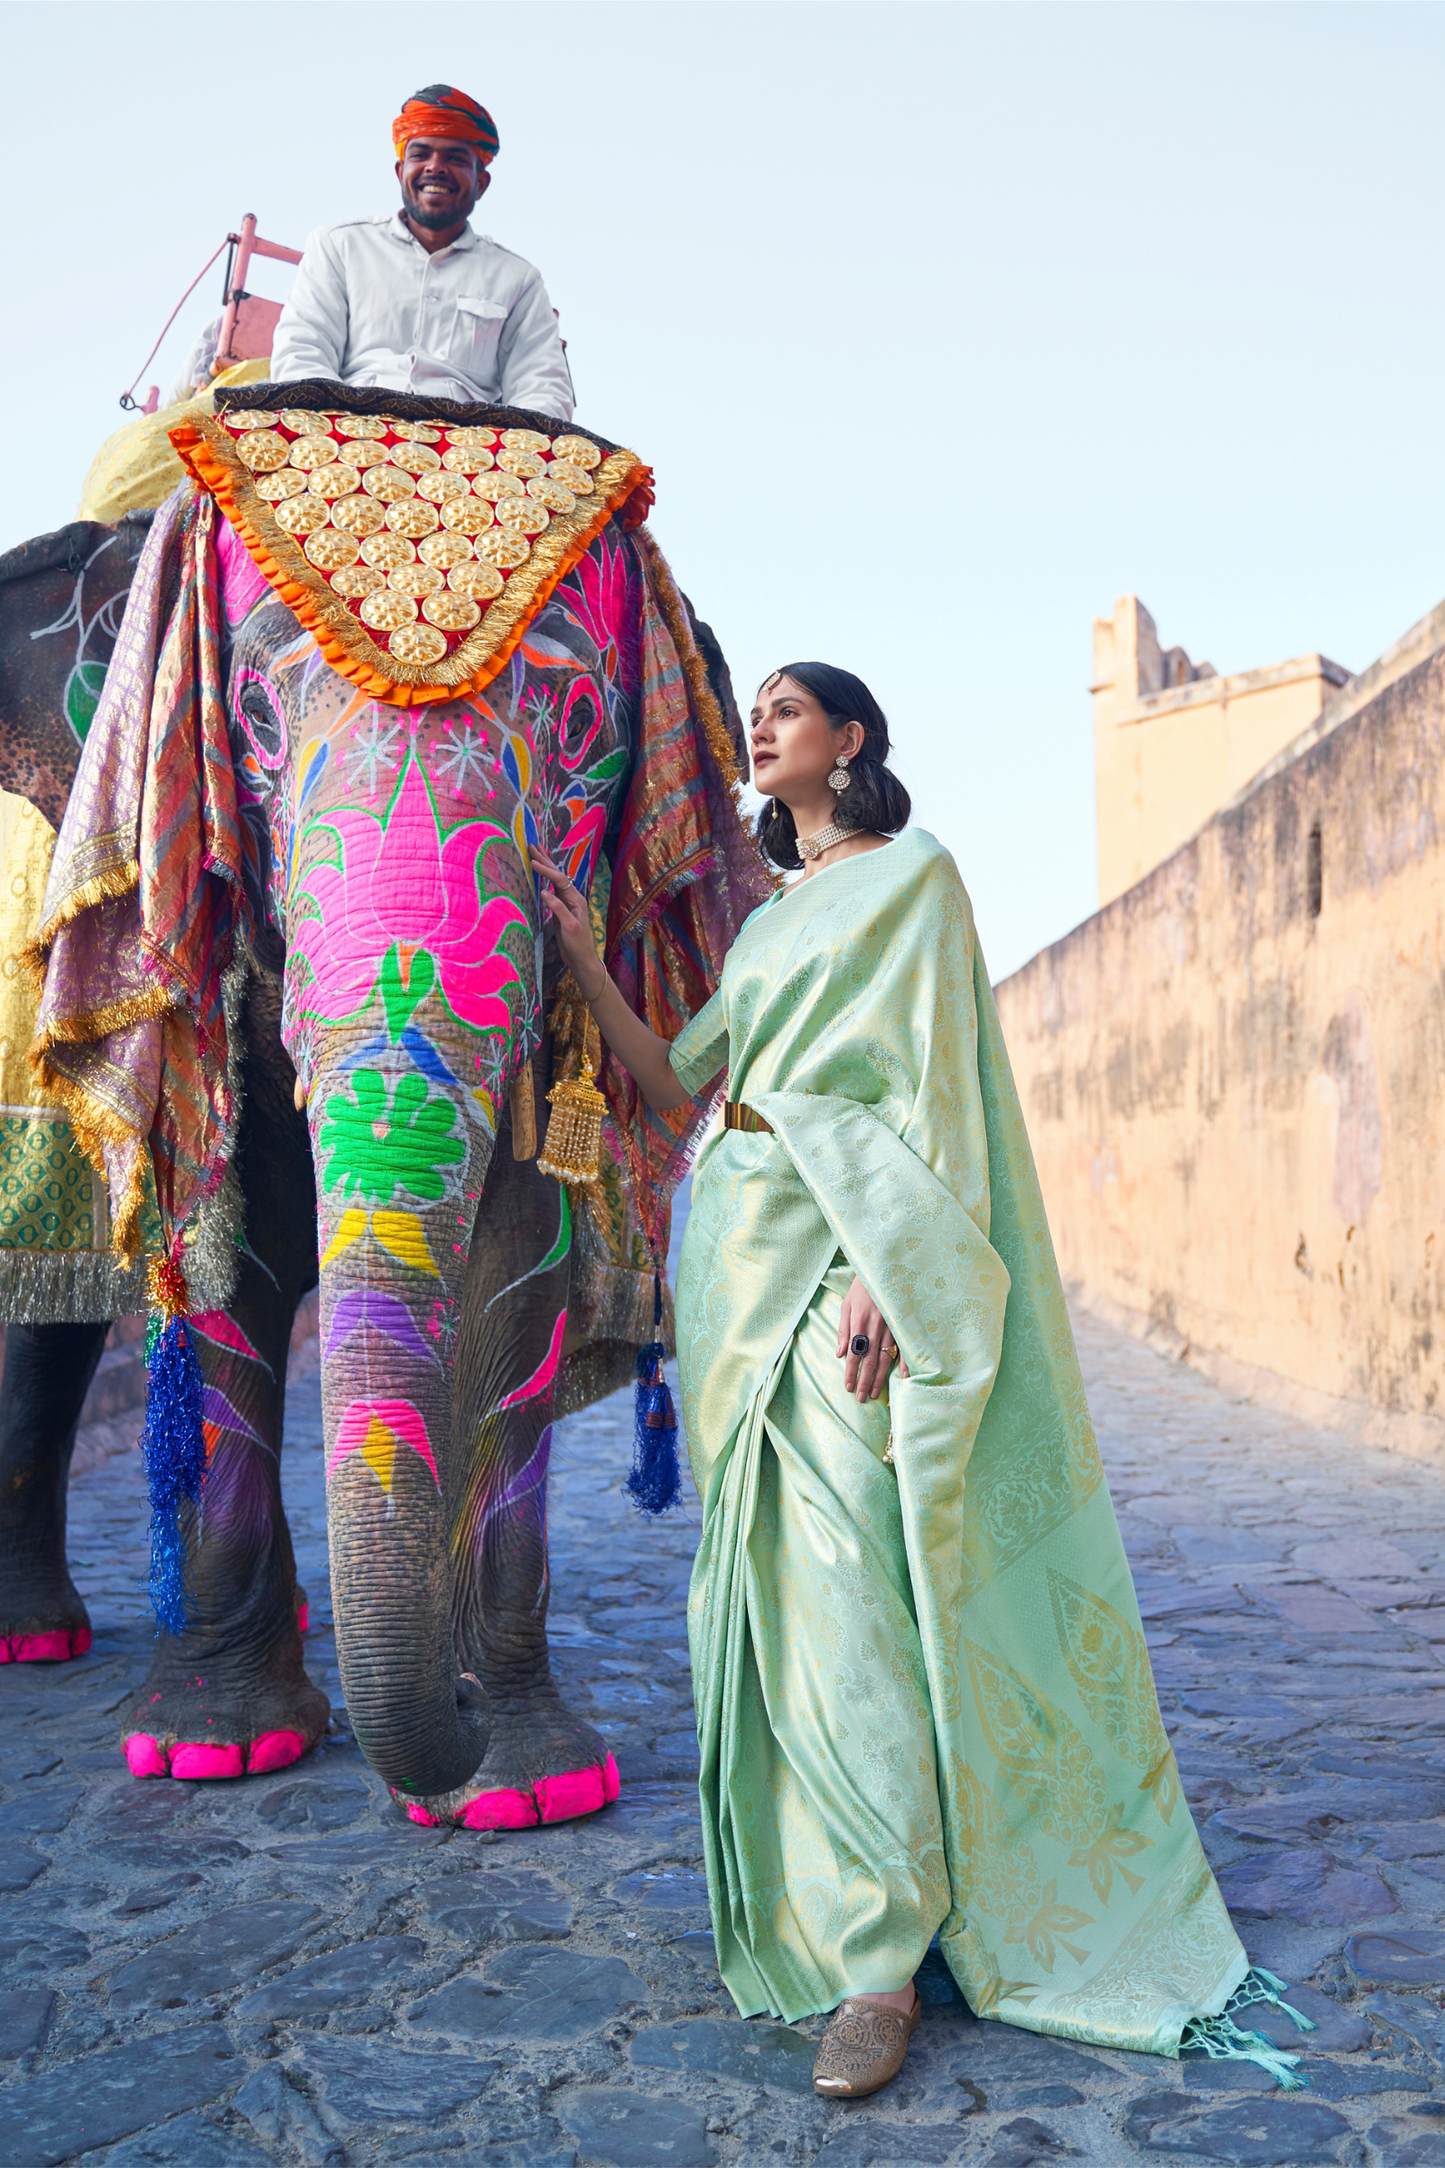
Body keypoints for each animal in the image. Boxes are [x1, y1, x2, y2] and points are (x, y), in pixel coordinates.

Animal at [0, 390, 766, 1829]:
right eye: (245, 715)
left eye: (577, 727)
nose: (439, 1754)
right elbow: (232, 1263)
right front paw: (212, 1752)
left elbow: (524, 1259)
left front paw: (530, 1789)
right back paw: (52, 1648)